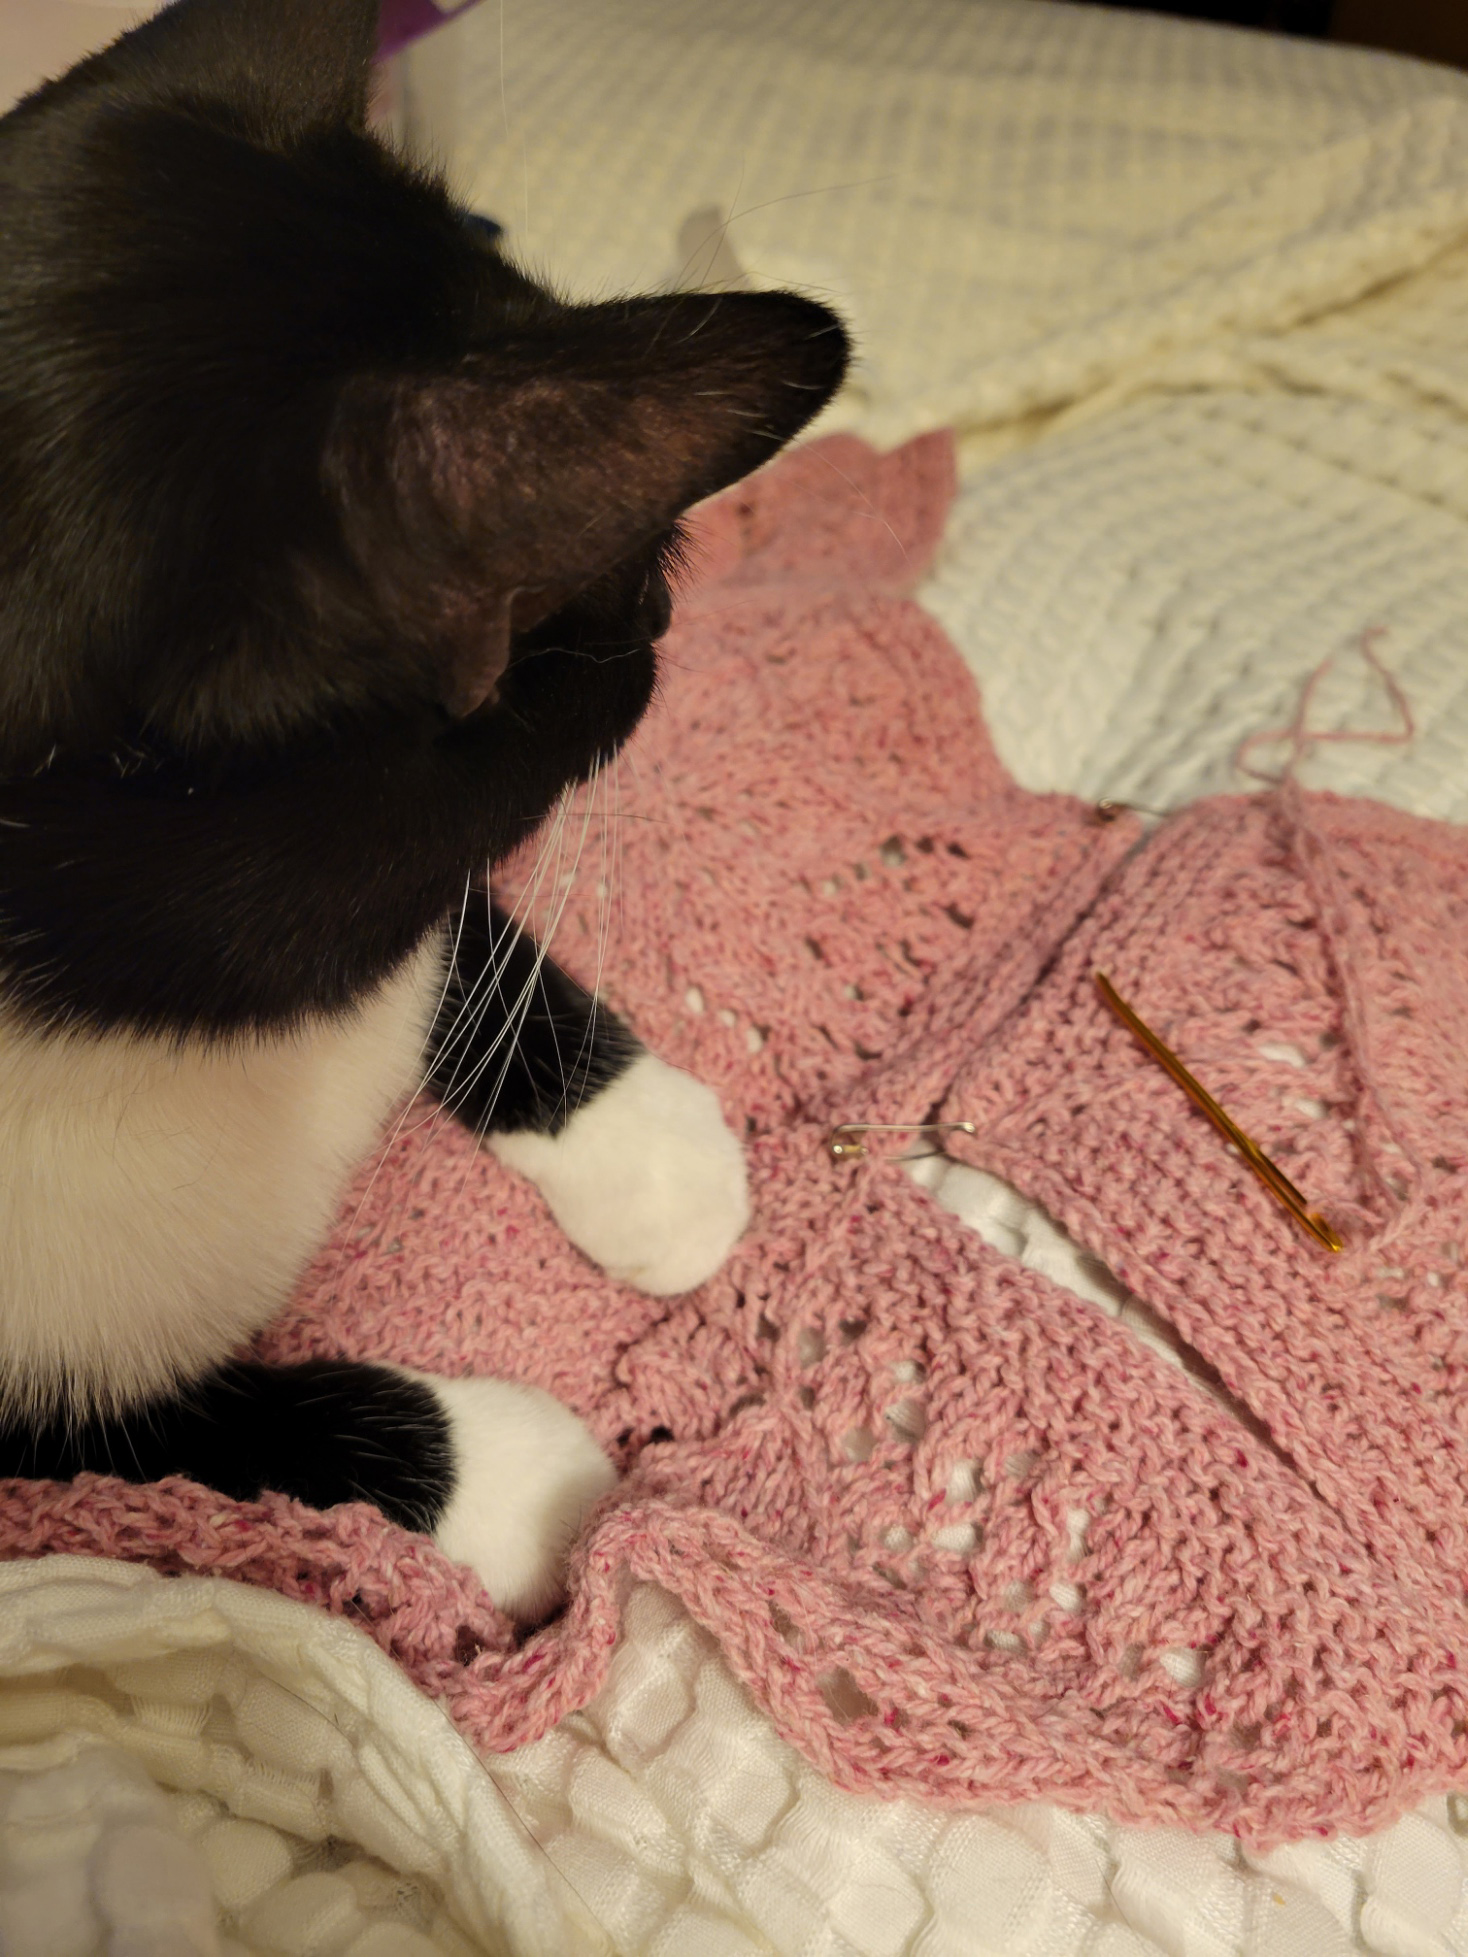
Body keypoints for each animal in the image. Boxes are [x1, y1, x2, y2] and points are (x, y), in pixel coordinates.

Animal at [0, 0, 847, 1620]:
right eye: (625, 583)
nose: (664, 620)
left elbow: (435, 920)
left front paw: (653, 1156)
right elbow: (165, 1440)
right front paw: (533, 1486)